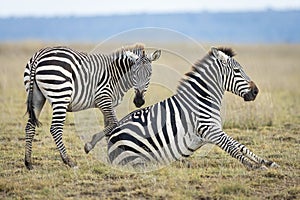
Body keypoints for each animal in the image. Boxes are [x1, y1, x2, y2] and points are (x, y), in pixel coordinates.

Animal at [23, 44, 162, 170]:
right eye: (134, 73)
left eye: (149, 74)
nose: (139, 101)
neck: (116, 75)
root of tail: (39, 56)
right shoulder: (103, 99)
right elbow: (114, 123)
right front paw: (89, 146)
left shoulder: (109, 104)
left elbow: (109, 128)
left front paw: (111, 155)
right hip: (60, 96)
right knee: (55, 128)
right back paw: (69, 161)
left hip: (37, 97)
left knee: (30, 127)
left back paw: (28, 163)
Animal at [85, 47, 278, 170]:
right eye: (237, 71)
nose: (255, 91)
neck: (202, 99)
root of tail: (110, 140)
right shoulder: (209, 130)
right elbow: (232, 147)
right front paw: (254, 166)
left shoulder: (215, 130)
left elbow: (240, 146)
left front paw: (268, 162)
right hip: (136, 157)